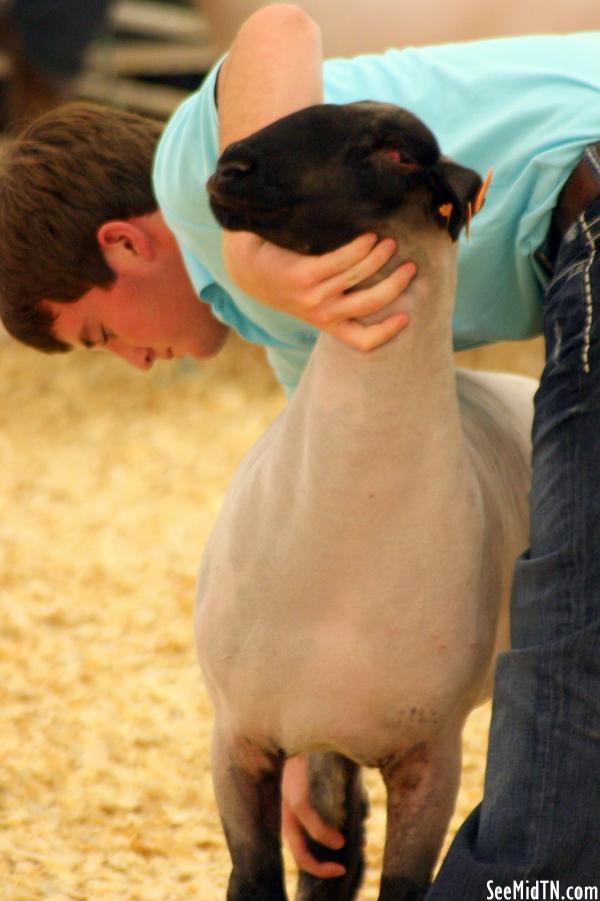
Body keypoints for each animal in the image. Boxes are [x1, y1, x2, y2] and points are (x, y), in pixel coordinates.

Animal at [199, 102, 536, 896]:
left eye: (393, 152)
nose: (230, 168)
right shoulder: (237, 737)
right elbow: (255, 879)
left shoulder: (429, 757)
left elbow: (404, 884)